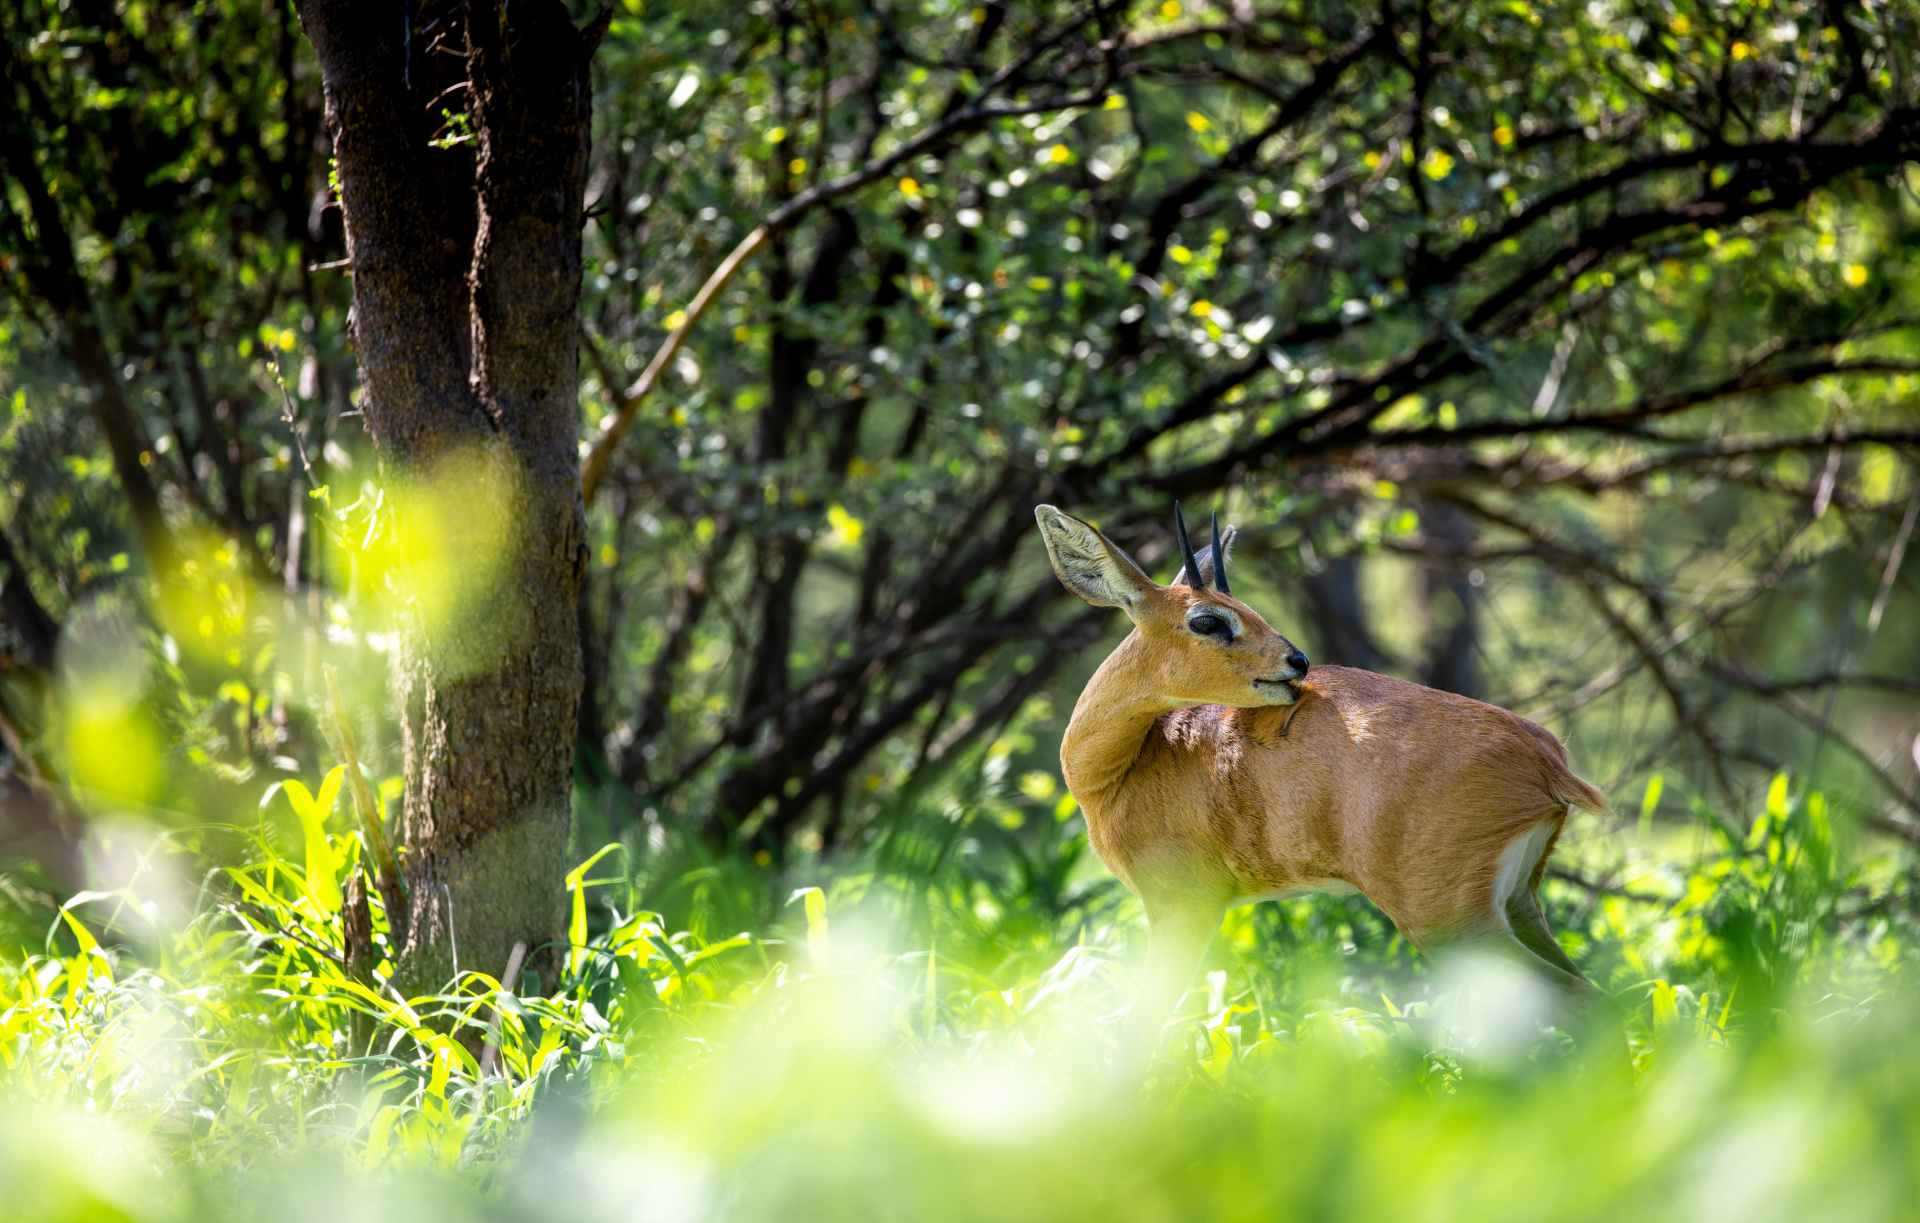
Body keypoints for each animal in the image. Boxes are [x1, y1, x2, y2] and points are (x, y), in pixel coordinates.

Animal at [1036, 499, 1605, 1067]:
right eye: (1209, 618)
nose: (1298, 661)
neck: (1126, 766)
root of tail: (1545, 756)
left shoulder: (1183, 906)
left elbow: (1139, 1033)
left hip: (1451, 923)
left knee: (1582, 999)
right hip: (1518, 905)